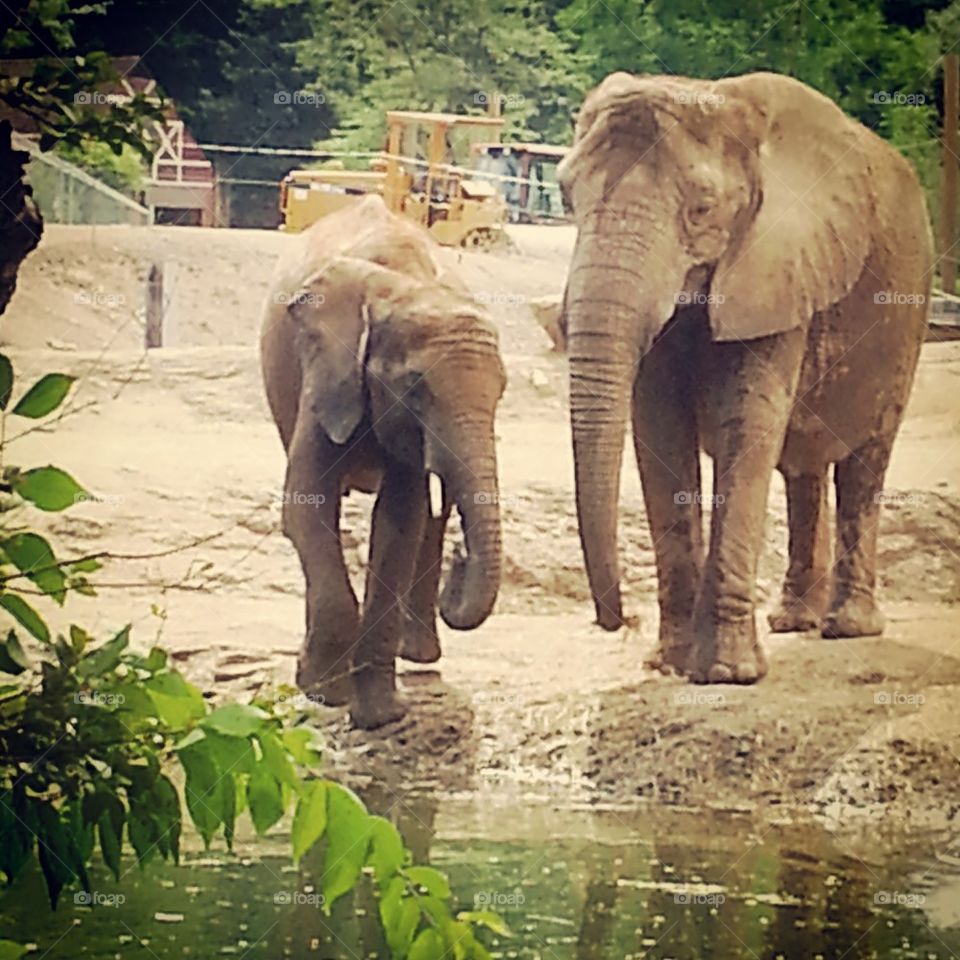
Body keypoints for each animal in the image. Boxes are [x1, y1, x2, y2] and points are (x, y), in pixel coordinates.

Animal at [260, 196, 506, 729]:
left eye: (502, 394)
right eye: (415, 389)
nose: (463, 559)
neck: (403, 285)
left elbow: (401, 522)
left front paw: (380, 716)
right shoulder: (325, 369)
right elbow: (307, 506)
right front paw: (325, 693)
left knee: (432, 518)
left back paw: (420, 656)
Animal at [558, 71, 931, 684]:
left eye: (702, 209)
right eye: (567, 197)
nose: (618, 620)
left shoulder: (777, 266)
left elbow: (746, 424)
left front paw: (727, 675)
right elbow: (658, 433)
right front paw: (670, 664)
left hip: (907, 316)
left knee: (865, 461)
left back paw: (847, 627)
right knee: (804, 468)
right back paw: (793, 621)